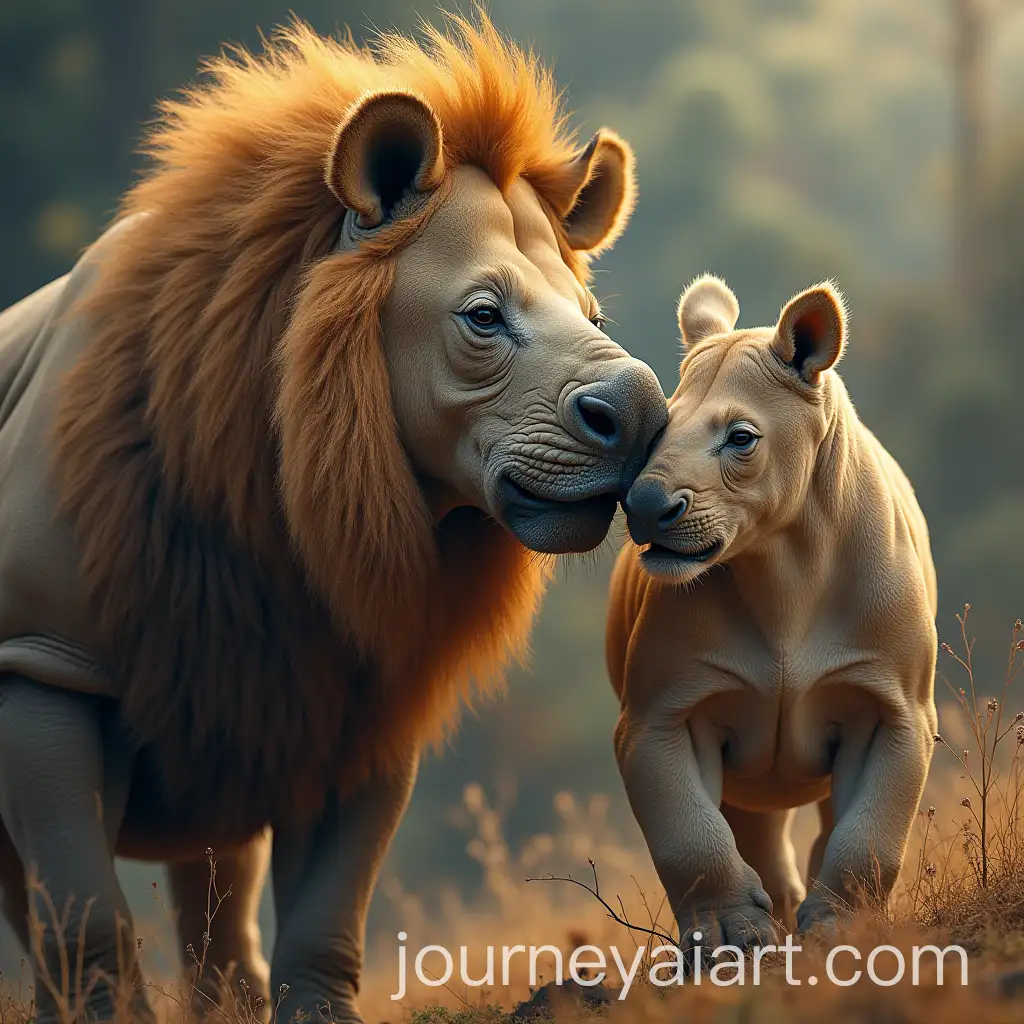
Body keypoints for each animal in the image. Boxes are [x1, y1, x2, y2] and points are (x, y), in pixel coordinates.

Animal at [0, 14, 668, 1023]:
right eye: (482, 319)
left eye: (594, 318)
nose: (639, 416)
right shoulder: (44, 655)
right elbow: (82, 904)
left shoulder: (378, 682)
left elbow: (330, 904)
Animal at [605, 275, 938, 952]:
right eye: (654, 432)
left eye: (742, 439)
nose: (645, 506)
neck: (784, 553)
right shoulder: (657, 714)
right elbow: (688, 834)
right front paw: (729, 940)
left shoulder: (898, 705)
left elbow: (870, 832)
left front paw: (843, 931)